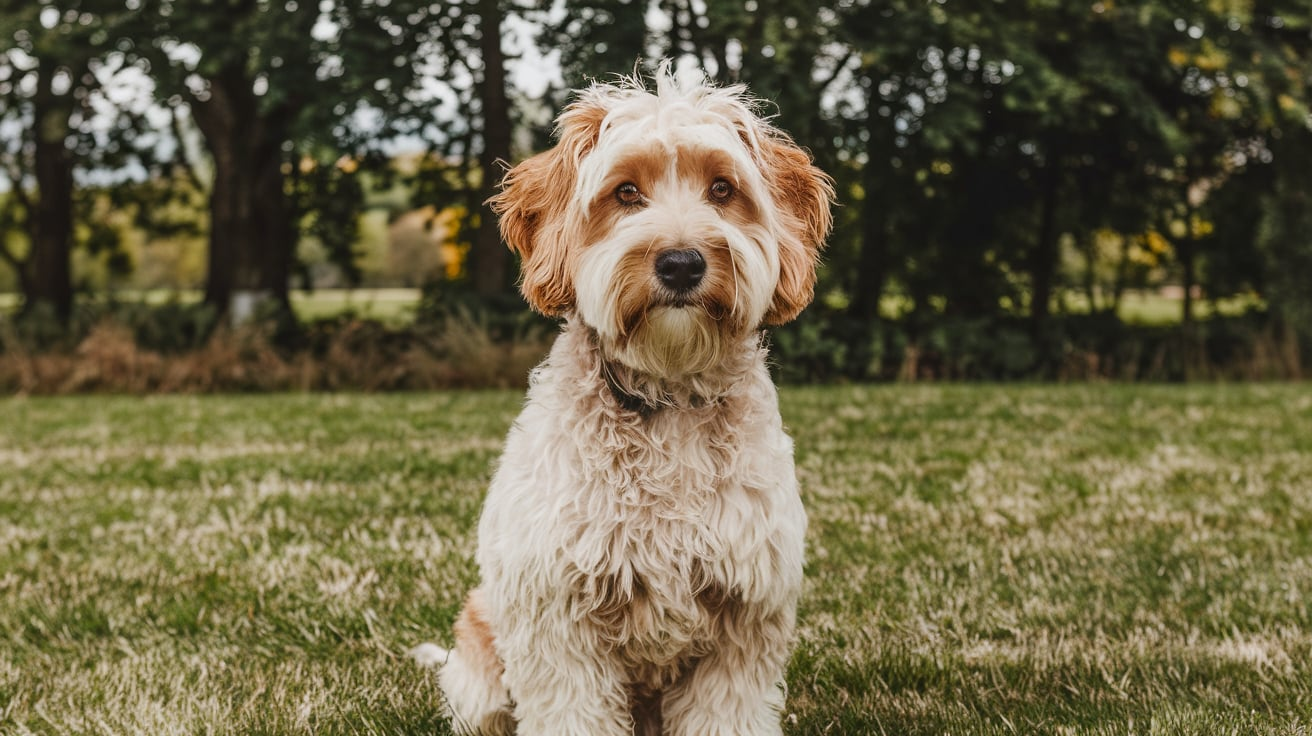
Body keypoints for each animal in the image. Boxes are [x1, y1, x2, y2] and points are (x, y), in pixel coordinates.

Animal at [414, 64, 834, 734]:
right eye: (626, 192)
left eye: (722, 188)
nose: (682, 263)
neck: (668, 397)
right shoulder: (557, 623)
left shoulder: (743, 619)